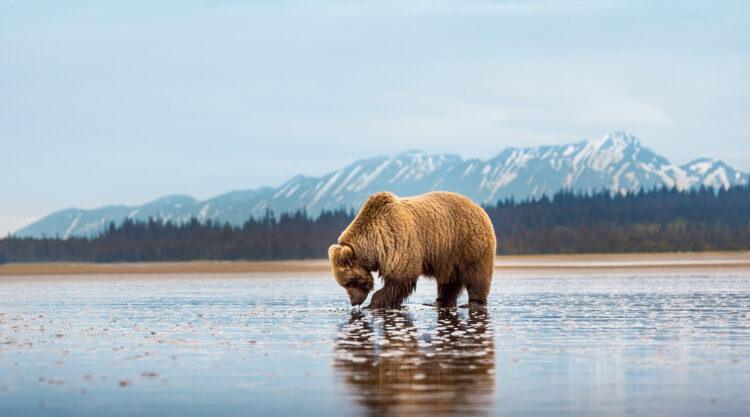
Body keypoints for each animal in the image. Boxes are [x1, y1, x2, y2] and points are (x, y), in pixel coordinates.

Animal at [330, 190, 500, 308]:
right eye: (343, 284)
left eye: (350, 282)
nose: (354, 302)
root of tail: (479, 208)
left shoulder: (397, 241)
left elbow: (400, 279)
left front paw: (373, 304)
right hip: (448, 254)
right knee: (449, 281)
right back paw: (438, 302)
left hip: (468, 243)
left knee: (477, 275)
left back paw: (474, 302)